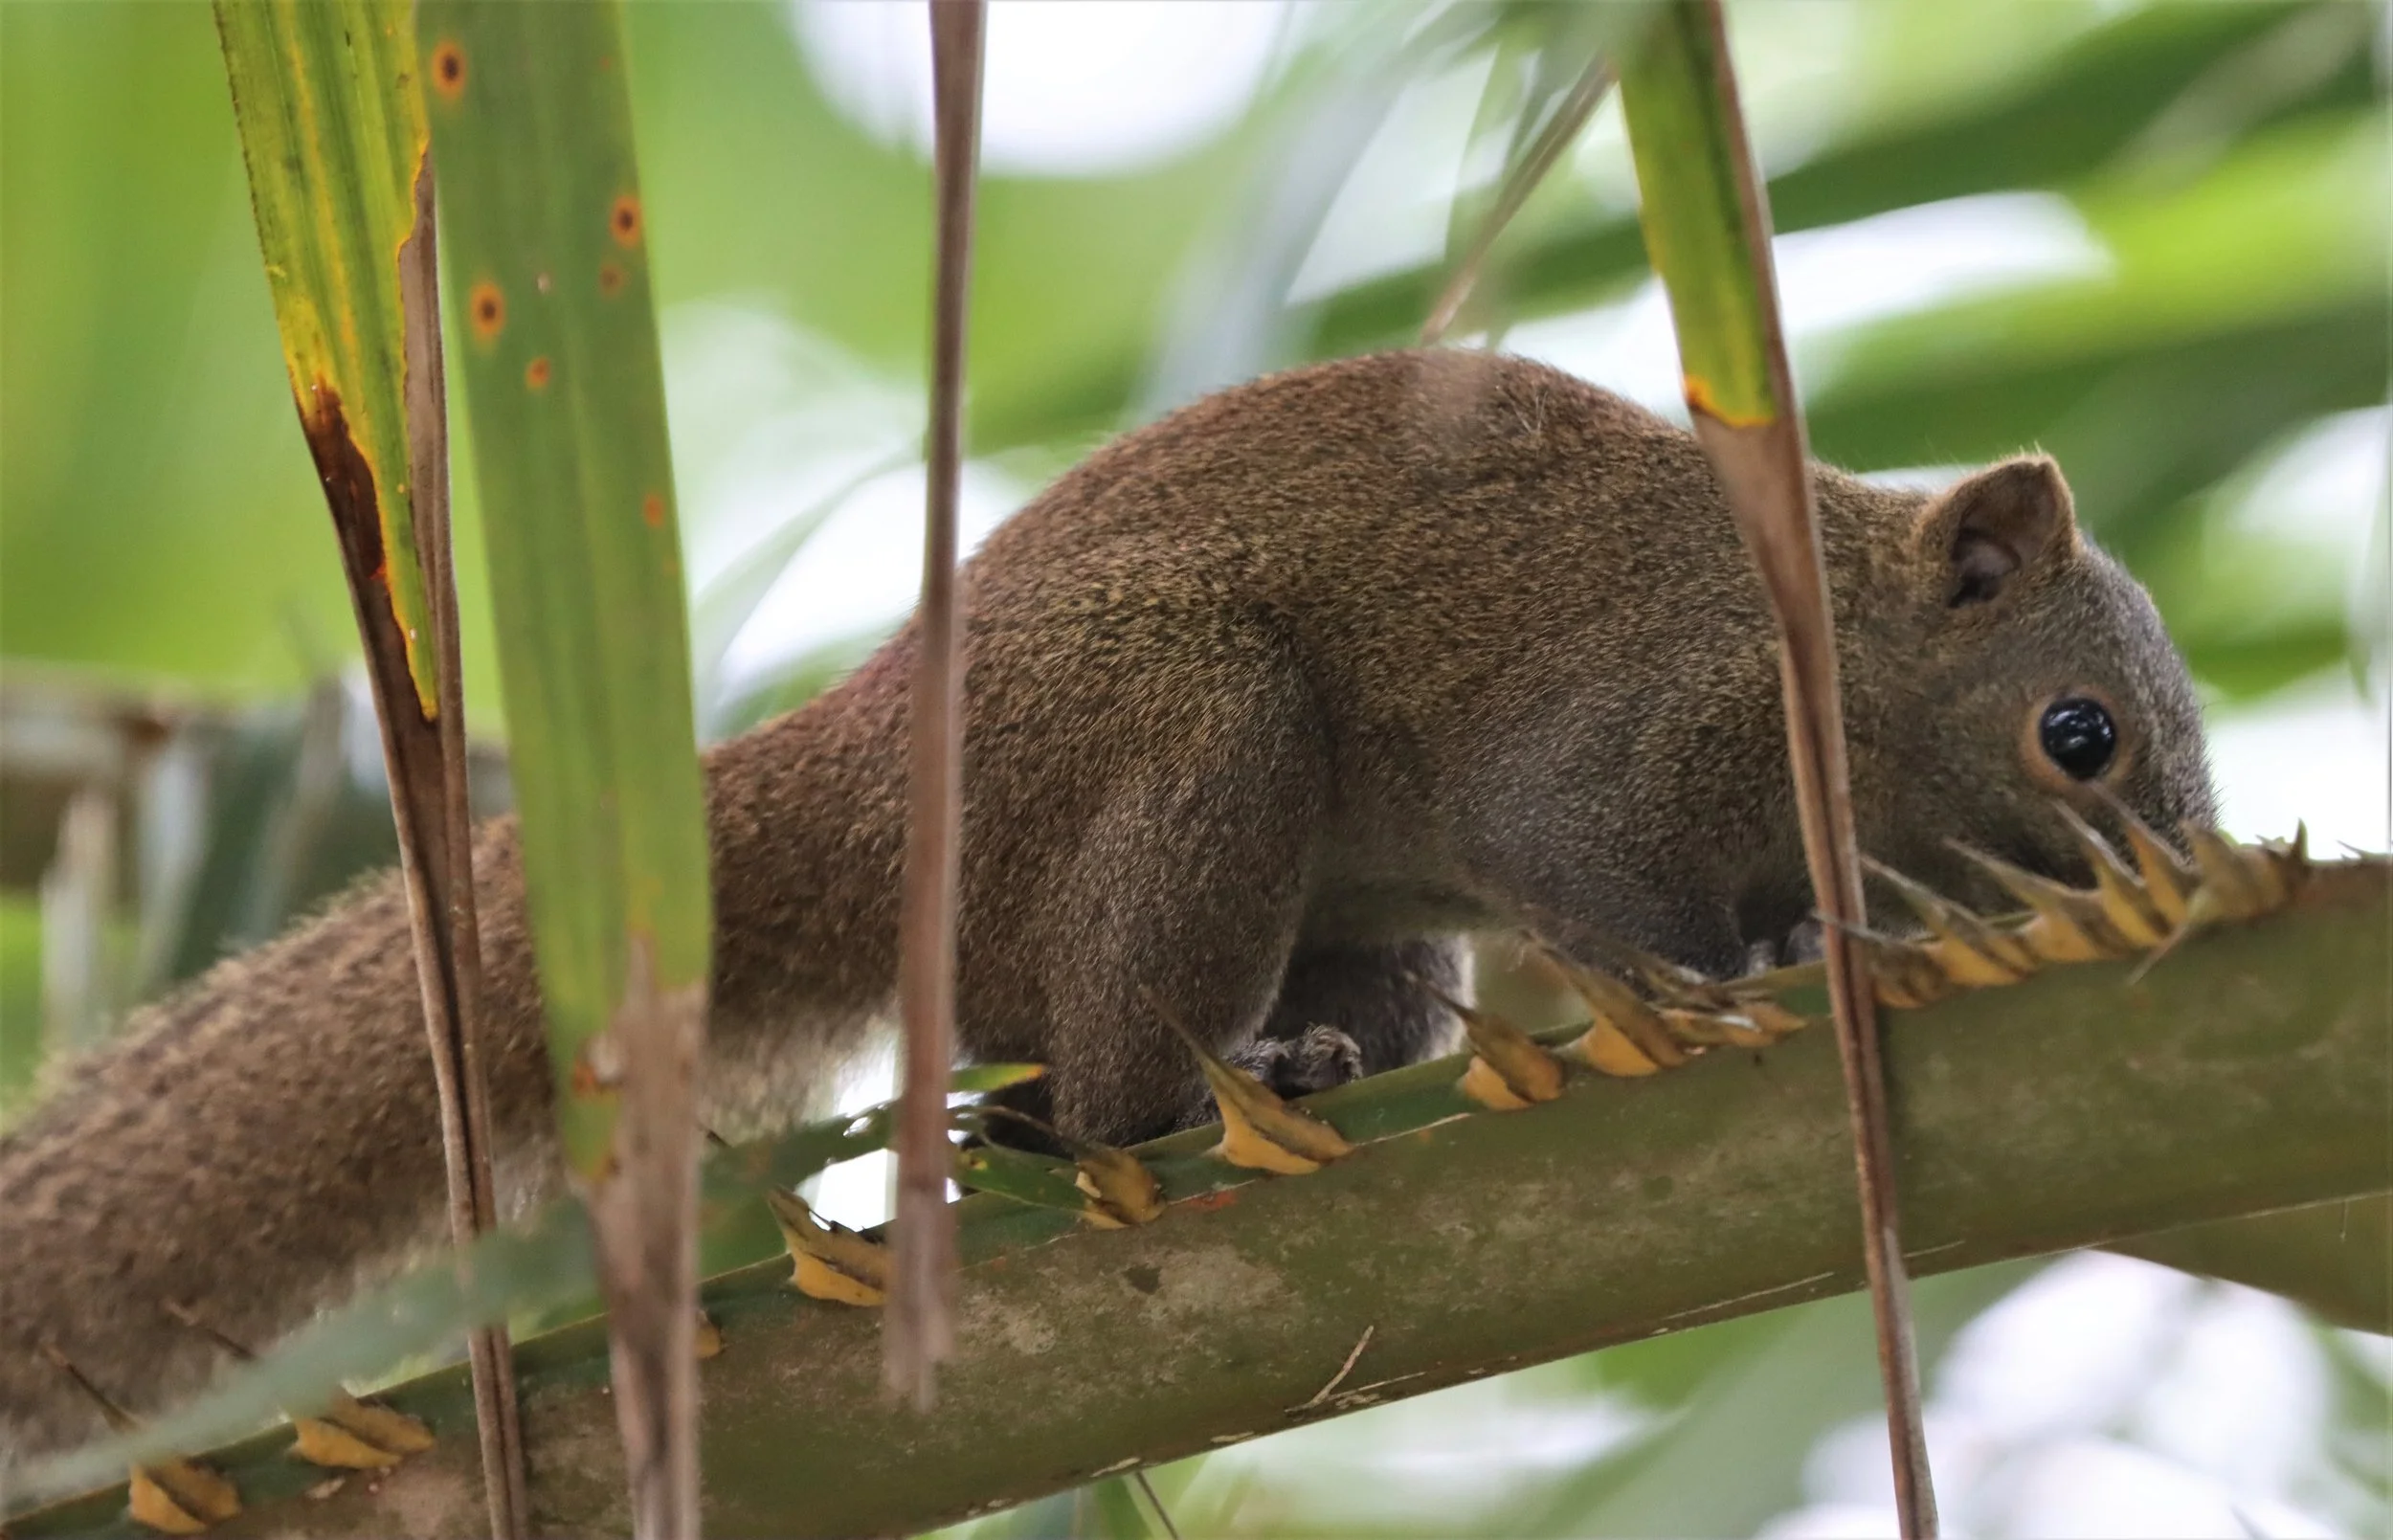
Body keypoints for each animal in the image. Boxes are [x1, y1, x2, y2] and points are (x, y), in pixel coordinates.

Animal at [0, 349, 2215, 1460]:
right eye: (2079, 734)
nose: (2173, 889)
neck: (1836, 632)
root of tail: (853, 777)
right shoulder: (1642, 726)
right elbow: (1596, 880)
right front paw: (1757, 963)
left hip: (1351, 919)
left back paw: (1267, 1076)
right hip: (1185, 729)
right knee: (1109, 1055)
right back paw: (1158, 1102)